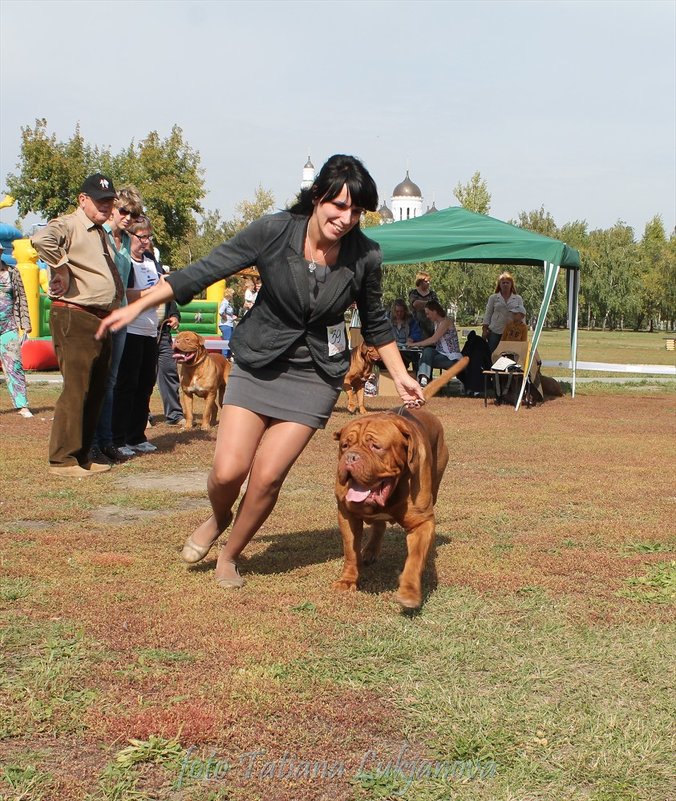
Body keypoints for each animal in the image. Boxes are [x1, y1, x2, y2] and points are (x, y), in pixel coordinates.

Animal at [334, 356, 470, 608]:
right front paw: (347, 580)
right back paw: (370, 551)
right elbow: (350, 550)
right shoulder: (346, 514)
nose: (351, 457)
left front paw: (409, 591)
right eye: (345, 445)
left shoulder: (422, 522)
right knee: (378, 526)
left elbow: (415, 559)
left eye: (376, 447)